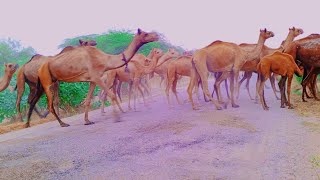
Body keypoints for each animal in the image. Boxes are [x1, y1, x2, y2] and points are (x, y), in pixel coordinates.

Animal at [26, 28, 158, 128]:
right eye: (145, 34)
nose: (156, 35)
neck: (104, 59)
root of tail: (40, 68)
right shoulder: (97, 77)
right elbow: (111, 95)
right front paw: (117, 117)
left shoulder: (93, 80)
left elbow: (89, 100)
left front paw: (87, 121)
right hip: (46, 81)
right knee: (50, 104)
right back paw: (63, 123)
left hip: (44, 83)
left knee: (36, 100)